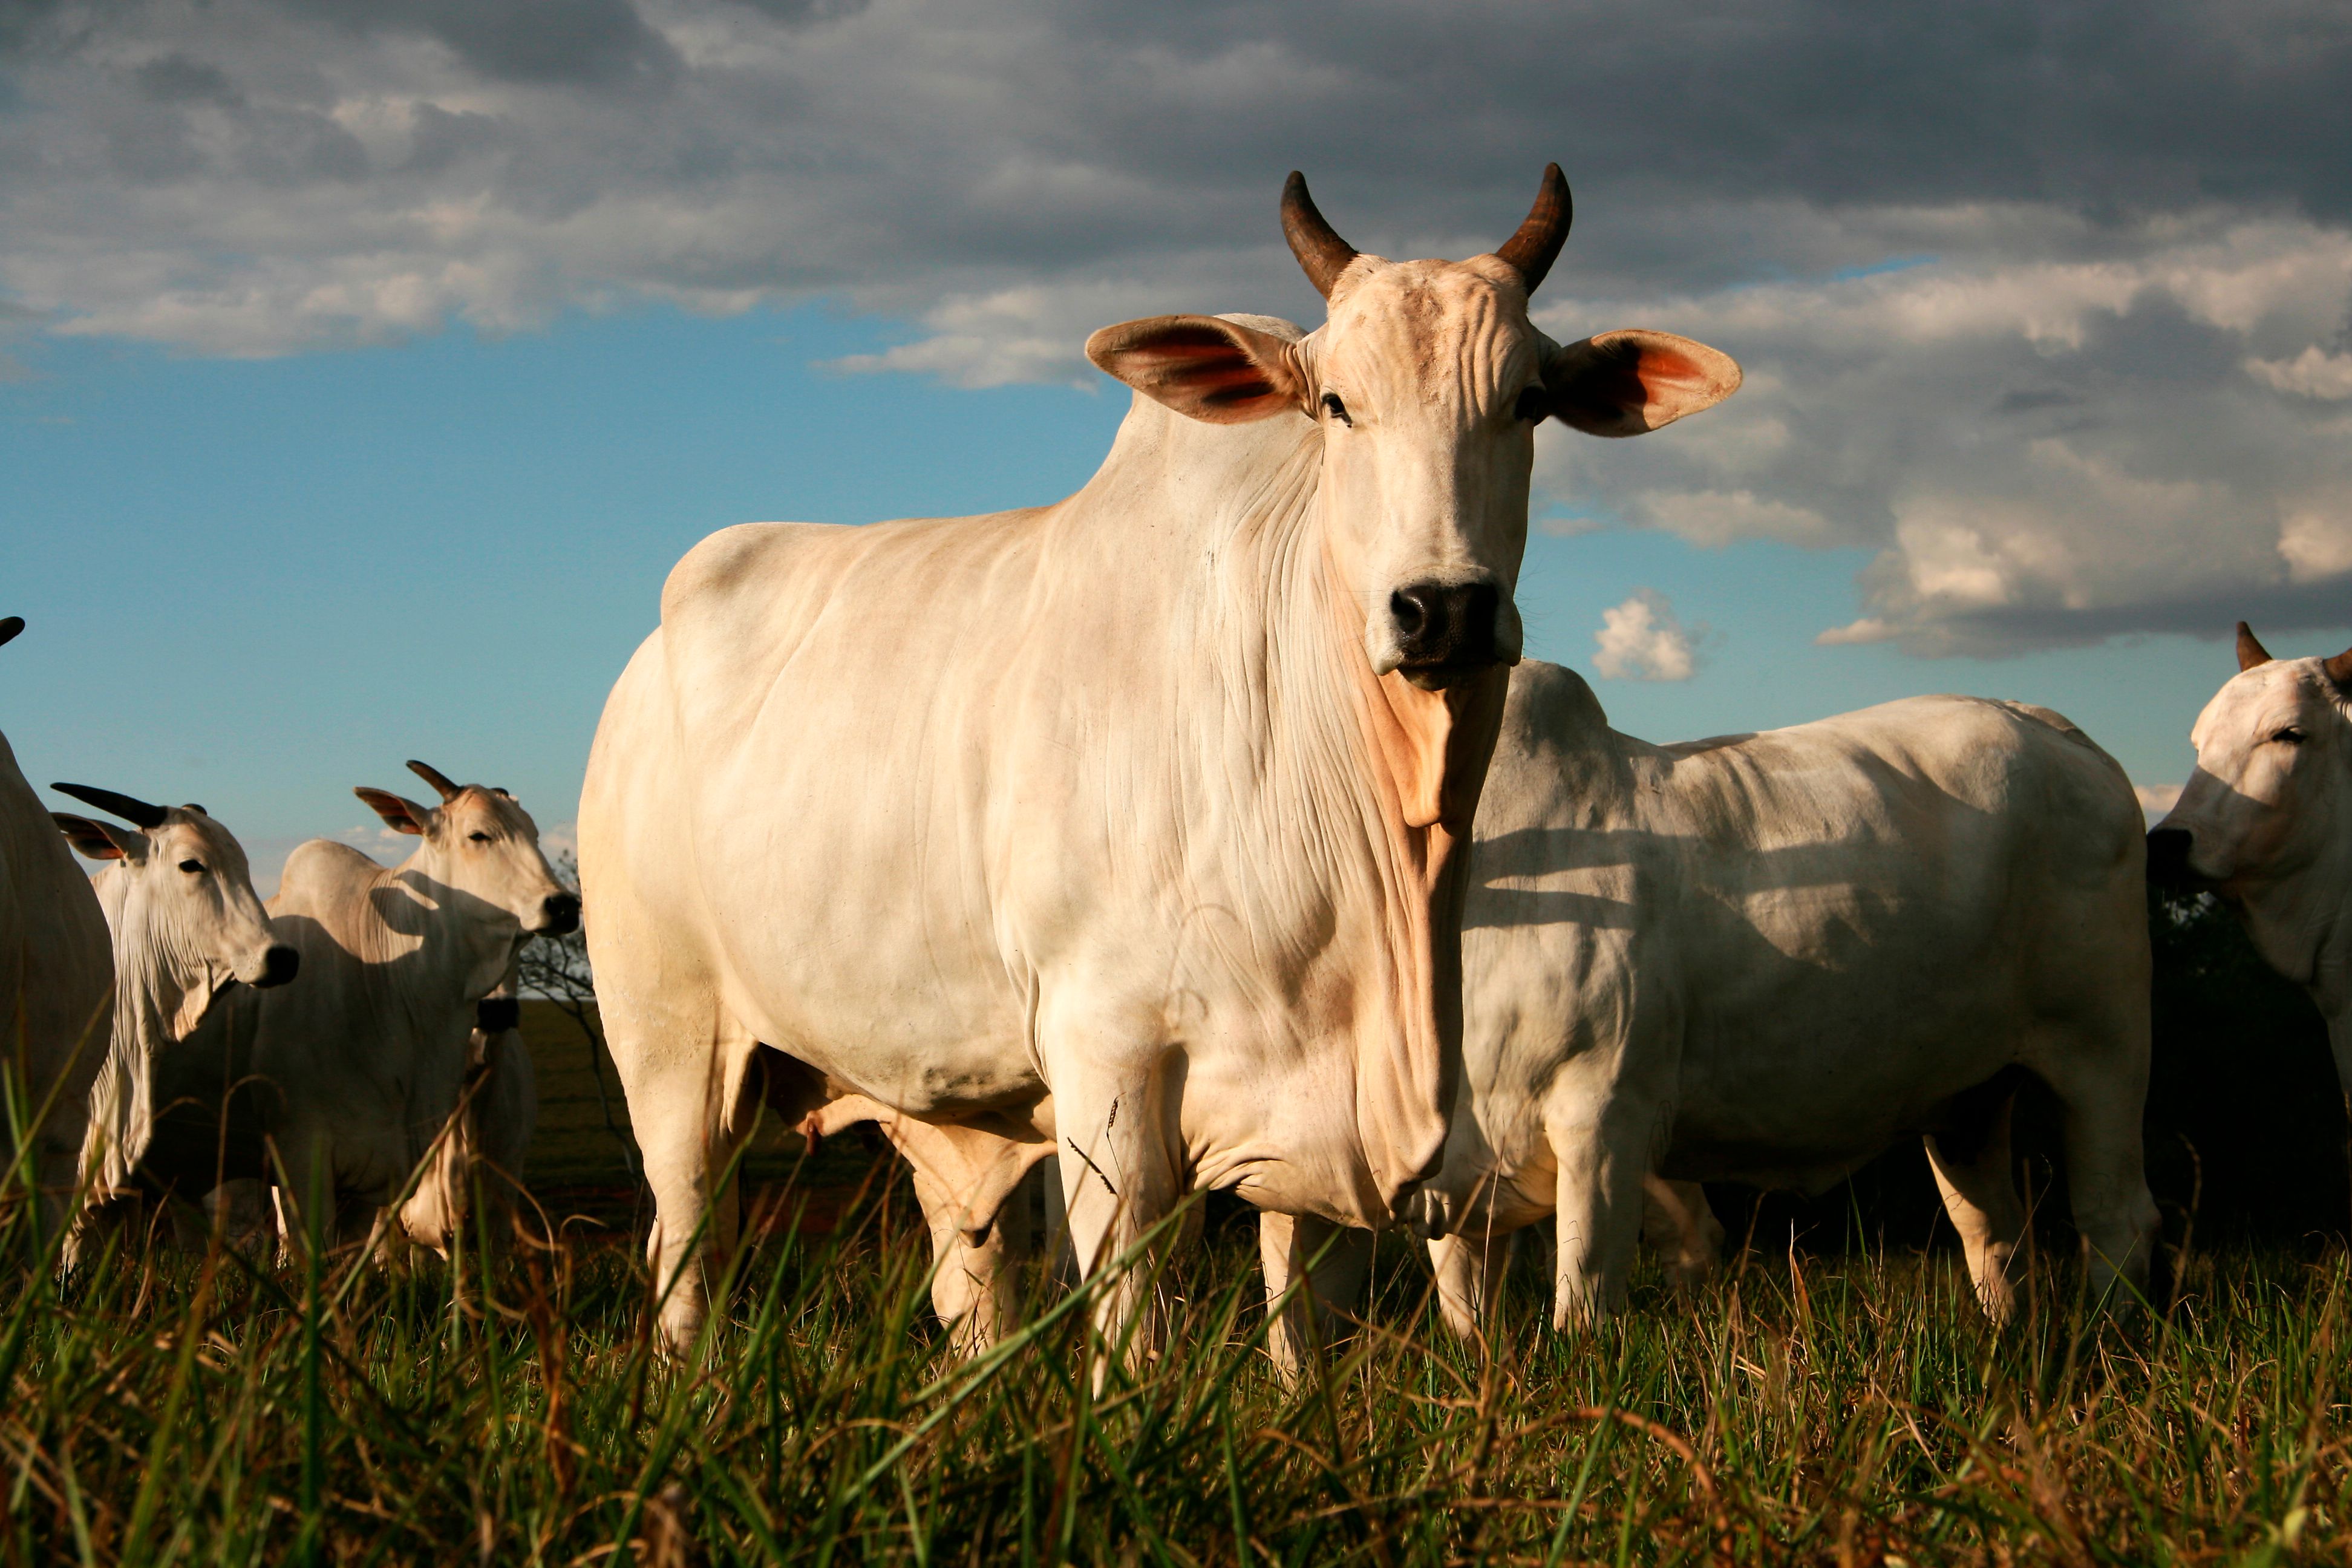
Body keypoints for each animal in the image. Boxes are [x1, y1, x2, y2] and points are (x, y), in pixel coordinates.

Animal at [578, 166, 1743, 1353]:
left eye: (1528, 401)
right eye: (1336, 403)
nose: (1443, 610)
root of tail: (643, 664)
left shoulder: (1317, 1139)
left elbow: (1303, 1327)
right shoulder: (1109, 1067)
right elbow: (1133, 1323)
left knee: (964, 1274)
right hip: (668, 1041)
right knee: (686, 1247)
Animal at [1259, 661, 2156, 1347]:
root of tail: (2054, 729)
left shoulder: (1605, 1114)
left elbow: (1584, 1301)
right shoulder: (1457, 1182)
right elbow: (1460, 1318)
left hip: (2104, 1052)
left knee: (2117, 1217)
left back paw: (2113, 1347)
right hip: (1967, 1097)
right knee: (1993, 1233)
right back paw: (2009, 1343)